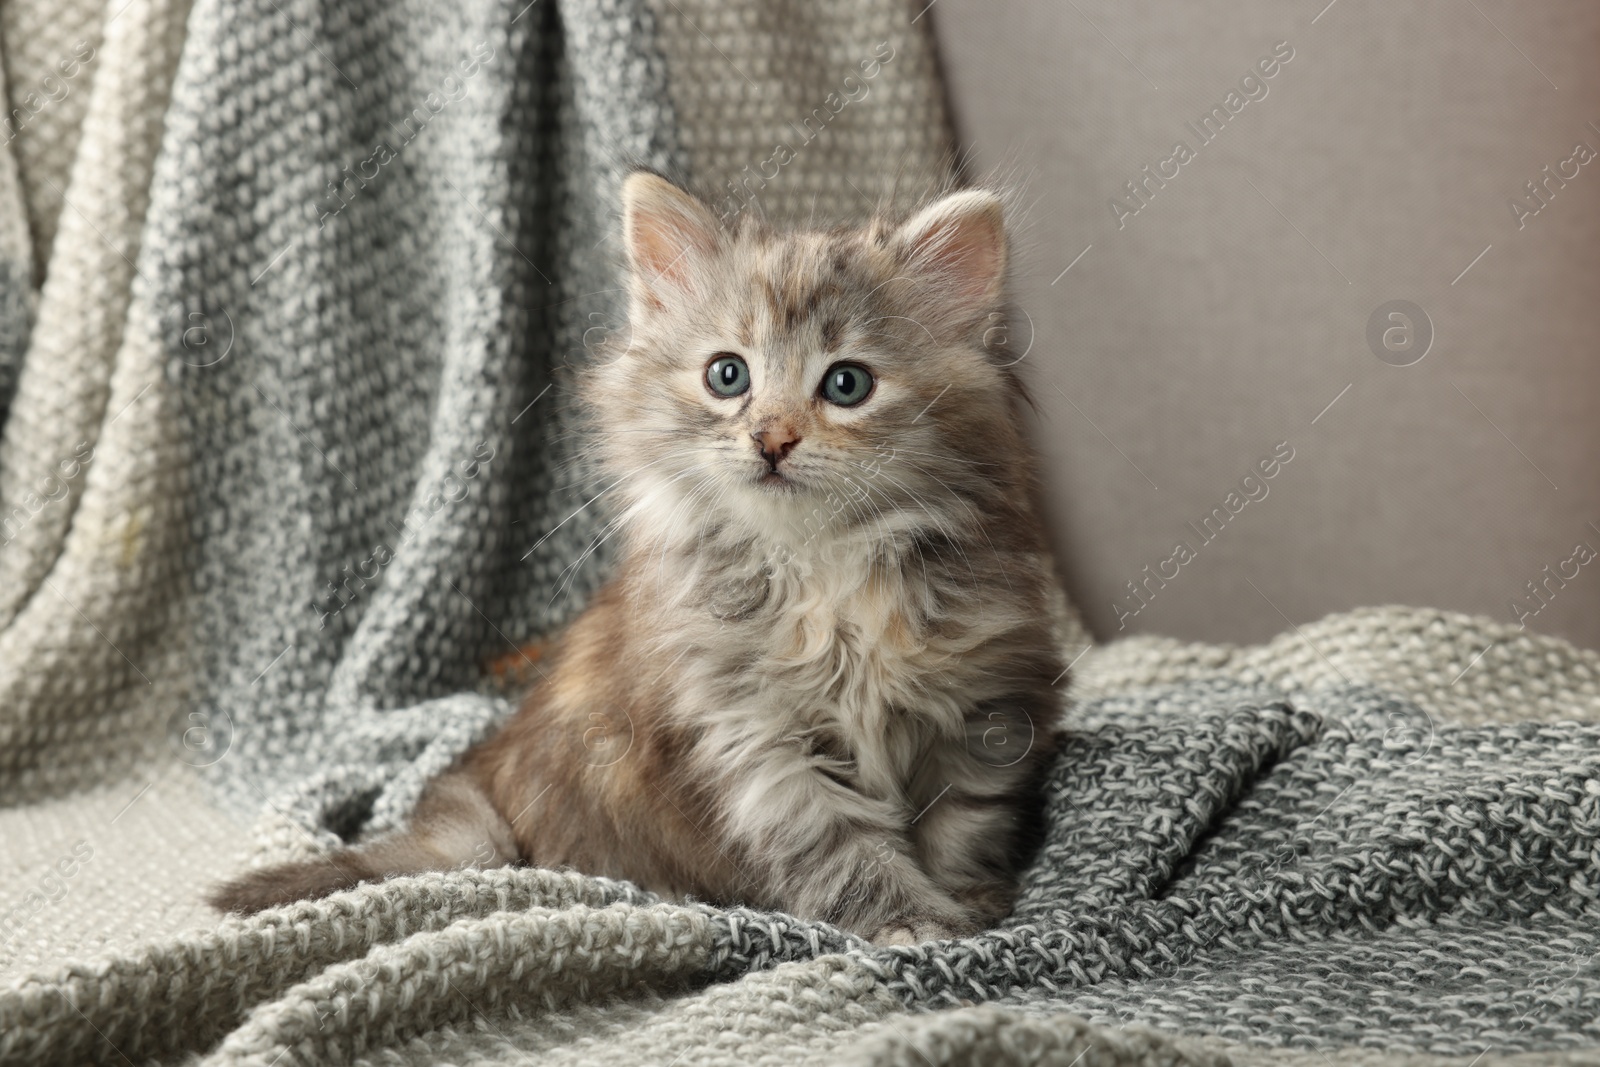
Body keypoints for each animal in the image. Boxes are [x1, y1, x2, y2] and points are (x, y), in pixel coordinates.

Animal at [209, 168, 1062, 940]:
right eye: (728, 375)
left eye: (847, 384)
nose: (772, 439)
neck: (821, 570)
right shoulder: (755, 743)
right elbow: (844, 850)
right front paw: (911, 923)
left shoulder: (981, 707)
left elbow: (962, 823)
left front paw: (968, 901)